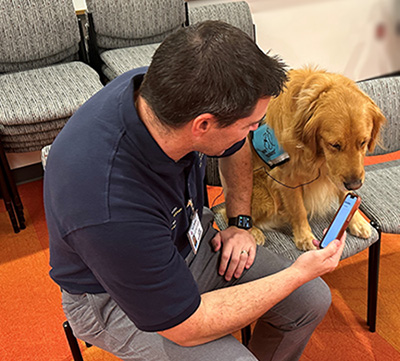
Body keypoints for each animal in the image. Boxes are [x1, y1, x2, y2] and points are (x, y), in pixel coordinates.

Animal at [248, 68, 386, 250]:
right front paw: (304, 237)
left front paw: (356, 221)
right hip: (267, 197)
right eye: (334, 145)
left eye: (363, 142)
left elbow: (345, 193)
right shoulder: (287, 178)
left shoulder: (337, 173)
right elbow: (298, 209)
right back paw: (253, 232)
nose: (356, 184)